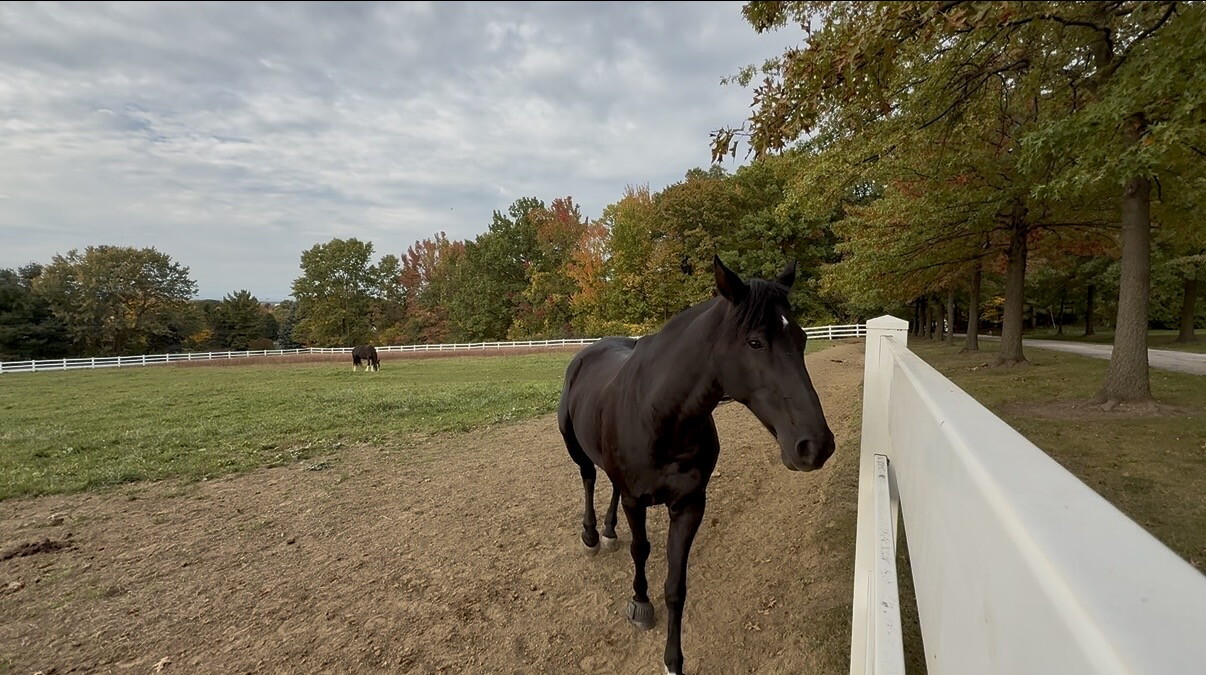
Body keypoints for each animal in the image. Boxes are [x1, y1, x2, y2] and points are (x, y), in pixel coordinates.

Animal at [557, 256, 835, 675]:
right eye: (755, 342)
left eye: (802, 339)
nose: (815, 446)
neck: (659, 416)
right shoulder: (637, 501)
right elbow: (641, 550)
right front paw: (640, 603)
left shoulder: (689, 505)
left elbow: (676, 587)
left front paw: (673, 659)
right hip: (575, 445)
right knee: (589, 477)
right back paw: (591, 535)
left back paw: (607, 531)